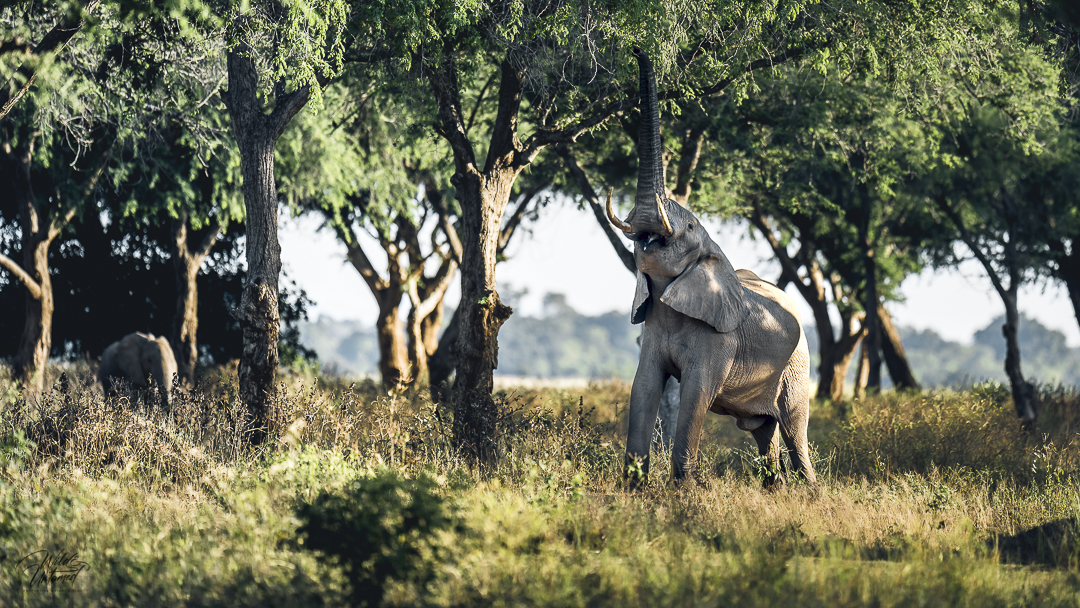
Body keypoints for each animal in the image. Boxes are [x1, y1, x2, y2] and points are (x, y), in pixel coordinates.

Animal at [609, 51, 816, 490]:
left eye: (689, 227)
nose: (638, 52)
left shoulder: (718, 340)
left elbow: (695, 394)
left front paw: (682, 491)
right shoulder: (653, 327)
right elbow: (644, 386)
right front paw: (633, 488)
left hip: (798, 364)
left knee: (794, 428)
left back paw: (810, 493)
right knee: (763, 431)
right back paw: (775, 490)